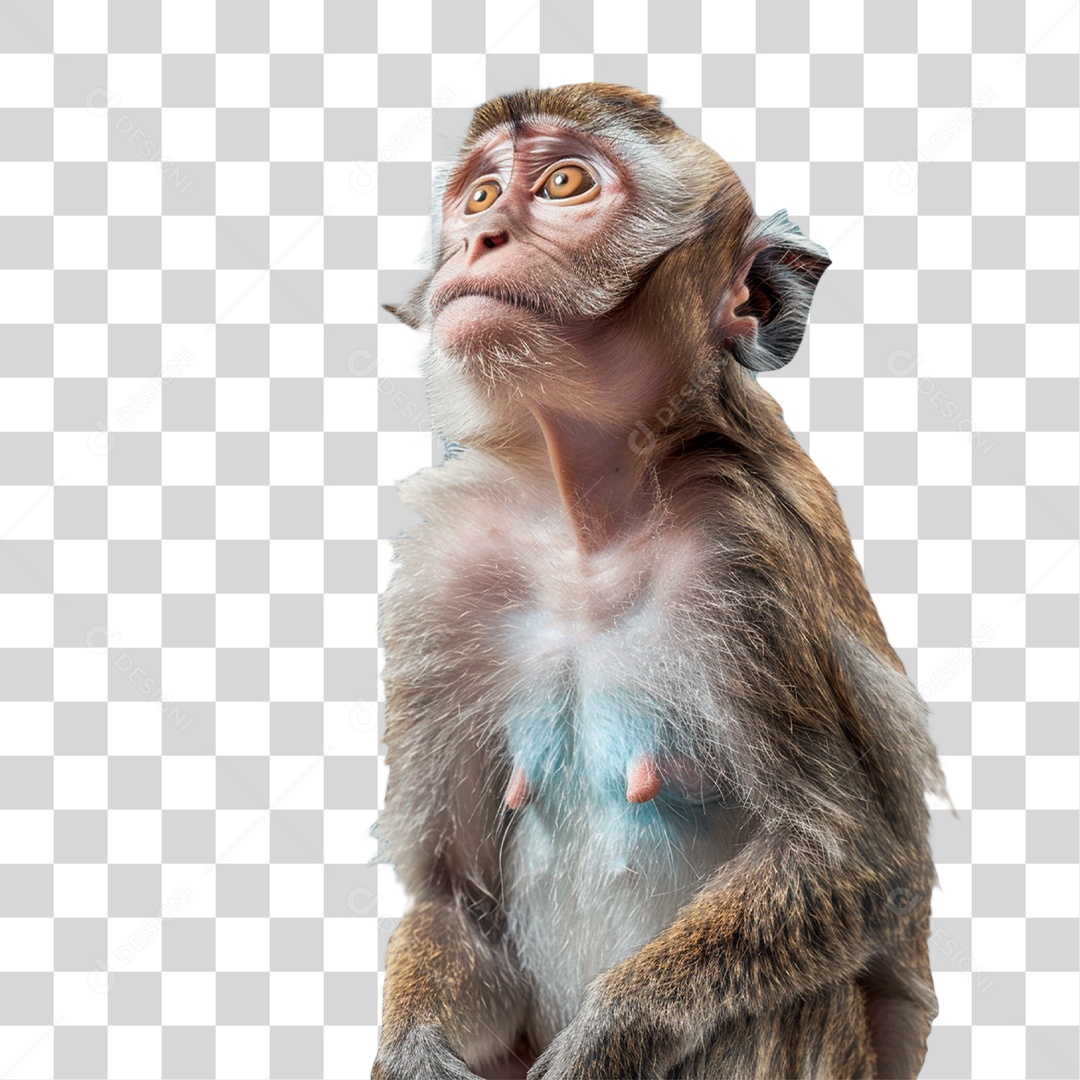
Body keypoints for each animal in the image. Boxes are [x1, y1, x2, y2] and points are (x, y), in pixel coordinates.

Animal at [370, 83, 949, 1080]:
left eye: (566, 183)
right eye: (479, 196)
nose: (482, 237)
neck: (592, 524)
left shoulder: (746, 551)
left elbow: (849, 857)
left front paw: (600, 1045)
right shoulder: (450, 572)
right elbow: (452, 894)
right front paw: (414, 1055)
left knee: (794, 995)